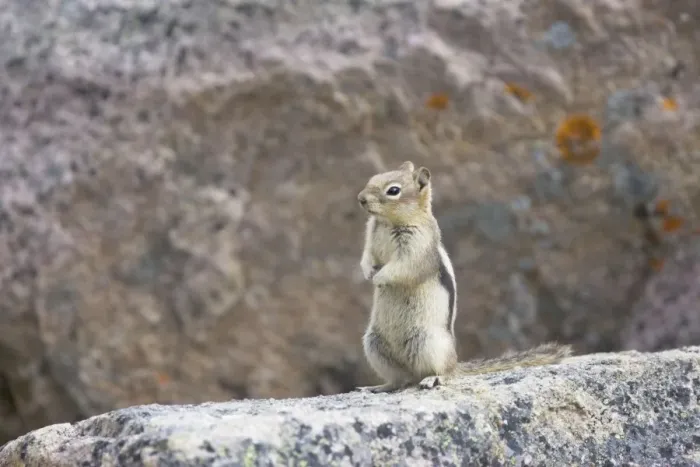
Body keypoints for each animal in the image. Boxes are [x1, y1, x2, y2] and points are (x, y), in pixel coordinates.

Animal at [355, 160, 572, 393]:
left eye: (393, 190)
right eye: (373, 178)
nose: (360, 198)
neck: (388, 222)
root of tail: (456, 363)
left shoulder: (417, 249)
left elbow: (402, 268)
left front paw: (378, 279)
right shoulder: (370, 237)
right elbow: (366, 256)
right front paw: (367, 272)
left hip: (428, 342)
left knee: (442, 373)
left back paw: (432, 379)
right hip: (374, 344)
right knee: (400, 379)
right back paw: (378, 386)